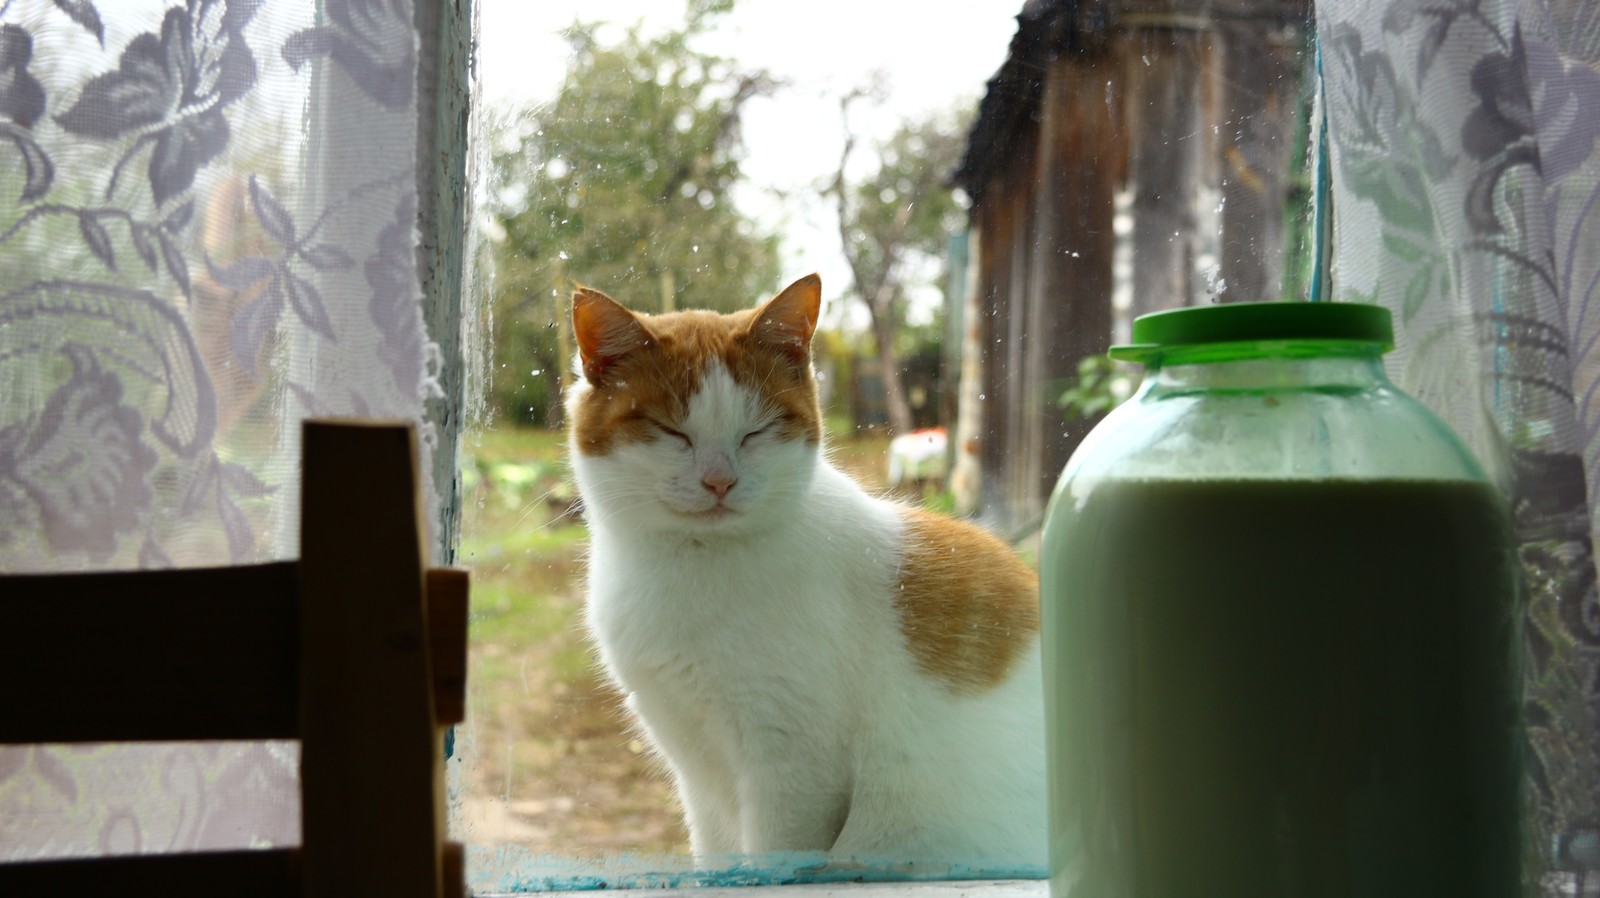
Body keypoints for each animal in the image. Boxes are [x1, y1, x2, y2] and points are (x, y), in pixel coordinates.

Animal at [566, 273, 1049, 870]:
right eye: (669, 431)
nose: (719, 482)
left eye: (758, 431)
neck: (691, 561)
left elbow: (771, 857)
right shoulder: (698, 772)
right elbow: (717, 860)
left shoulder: (793, 769)